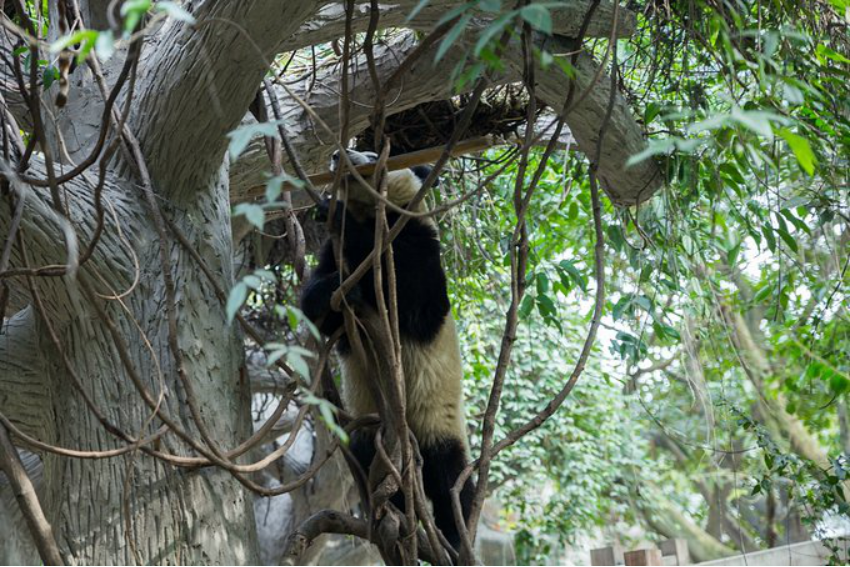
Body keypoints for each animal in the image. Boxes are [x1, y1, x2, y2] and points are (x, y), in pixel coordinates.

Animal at [304, 149, 476, 548]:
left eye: (372, 154)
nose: (339, 155)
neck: (373, 214)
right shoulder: (332, 258)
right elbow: (317, 312)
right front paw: (335, 288)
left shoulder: (419, 246)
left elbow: (409, 291)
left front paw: (334, 212)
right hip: (373, 430)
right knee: (370, 459)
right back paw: (388, 512)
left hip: (437, 425)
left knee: (451, 480)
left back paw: (455, 536)